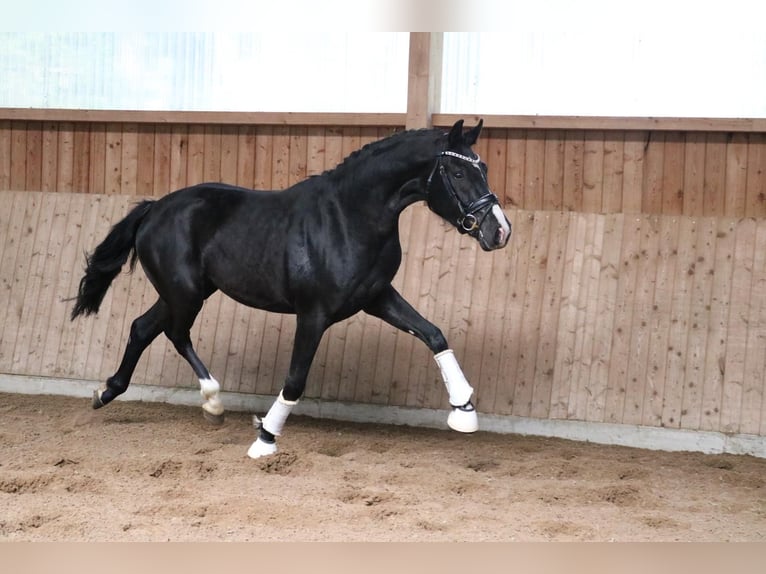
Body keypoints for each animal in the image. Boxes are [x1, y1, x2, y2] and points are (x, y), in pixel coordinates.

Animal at [70, 119, 511, 459]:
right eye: (459, 173)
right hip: (186, 292)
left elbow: (433, 334)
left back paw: (114, 393)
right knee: (173, 333)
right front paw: (265, 438)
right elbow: (296, 378)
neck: (350, 217)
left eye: (485, 168)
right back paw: (210, 401)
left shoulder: (376, 297)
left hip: (186, 292)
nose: (500, 231)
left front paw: (464, 409)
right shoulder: (313, 314)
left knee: (144, 328)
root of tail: (155, 208)